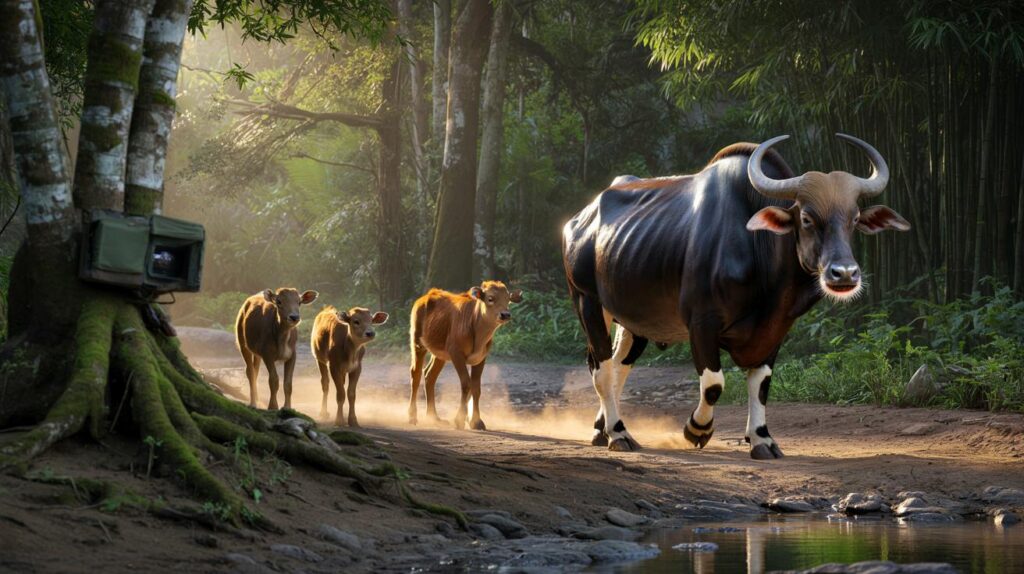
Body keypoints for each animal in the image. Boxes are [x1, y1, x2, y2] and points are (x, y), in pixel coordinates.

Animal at [408, 281, 523, 430]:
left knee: (429, 375)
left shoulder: (480, 358)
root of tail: (426, 296)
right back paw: (412, 417)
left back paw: (433, 417)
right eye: (490, 298)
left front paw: (476, 421)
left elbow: (476, 387)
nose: (505, 314)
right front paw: (459, 420)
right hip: (417, 343)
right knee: (415, 374)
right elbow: (466, 384)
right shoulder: (456, 354)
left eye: (508, 299)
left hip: (439, 355)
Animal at [562, 134, 910, 459]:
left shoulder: (775, 330)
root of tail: (578, 220)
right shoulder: (701, 322)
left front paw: (761, 439)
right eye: (807, 218)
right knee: (602, 368)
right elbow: (714, 383)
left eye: (854, 219)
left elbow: (762, 383)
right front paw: (697, 429)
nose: (845, 274)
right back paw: (619, 433)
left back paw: (602, 430)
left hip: (634, 320)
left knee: (618, 368)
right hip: (587, 302)